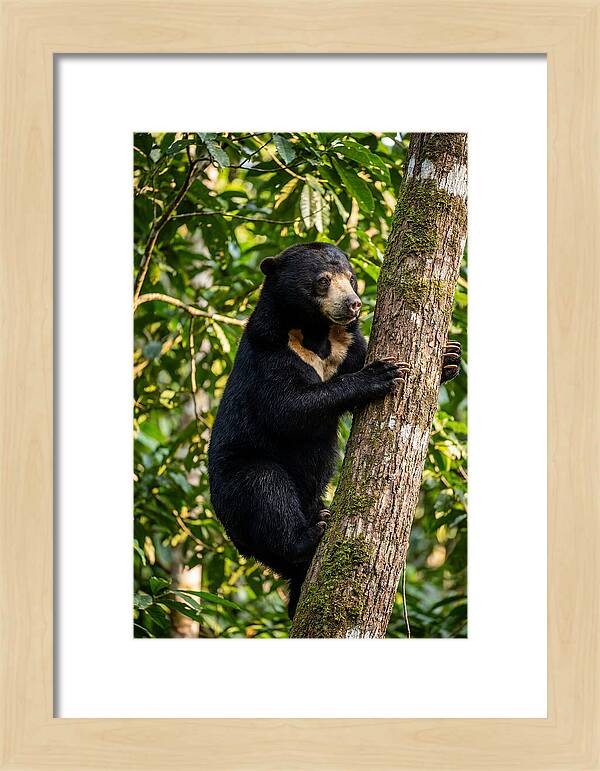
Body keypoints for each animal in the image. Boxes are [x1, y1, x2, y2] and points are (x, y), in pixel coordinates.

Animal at [207, 241, 461, 618]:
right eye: (323, 281)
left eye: (352, 278)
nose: (354, 304)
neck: (315, 333)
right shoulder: (270, 351)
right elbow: (286, 408)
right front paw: (380, 374)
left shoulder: (346, 345)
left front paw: (449, 357)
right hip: (236, 479)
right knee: (265, 490)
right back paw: (311, 533)